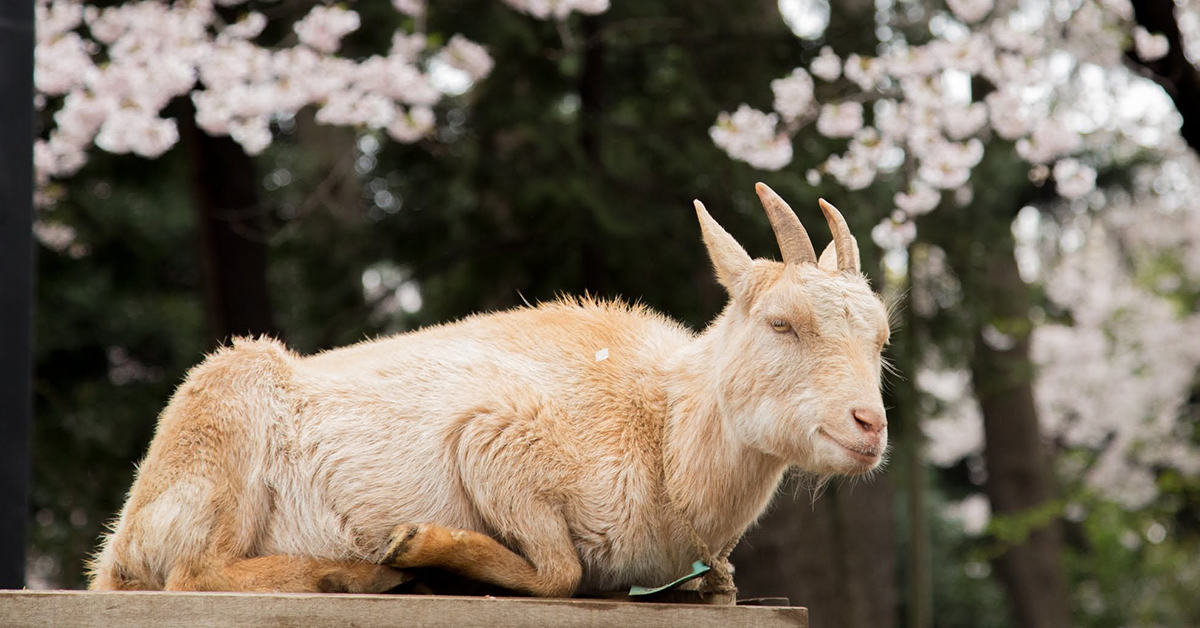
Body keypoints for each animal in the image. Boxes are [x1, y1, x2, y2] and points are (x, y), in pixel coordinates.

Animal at [87, 182, 892, 600]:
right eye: (782, 323)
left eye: (881, 339)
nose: (869, 427)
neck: (664, 433)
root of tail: (116, 547)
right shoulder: (494, 436)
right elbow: (562, 573)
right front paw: (419, 543)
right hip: (227, 425)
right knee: (193, 574)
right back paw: (360, 572)